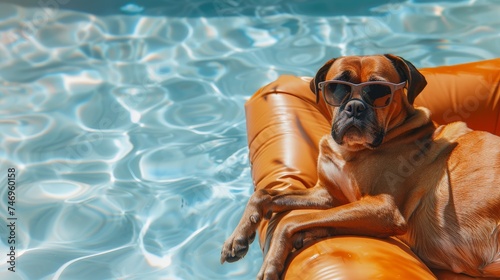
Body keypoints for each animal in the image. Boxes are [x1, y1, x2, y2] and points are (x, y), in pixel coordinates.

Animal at [222, 54, 500, 280]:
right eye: (337, 87)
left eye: (379, 91)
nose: (355, 107)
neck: (351, 151)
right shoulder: (327, 195)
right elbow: (265, 194)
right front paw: (238, 238)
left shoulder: (384, 208)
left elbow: (292, 219)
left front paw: (271, 263)